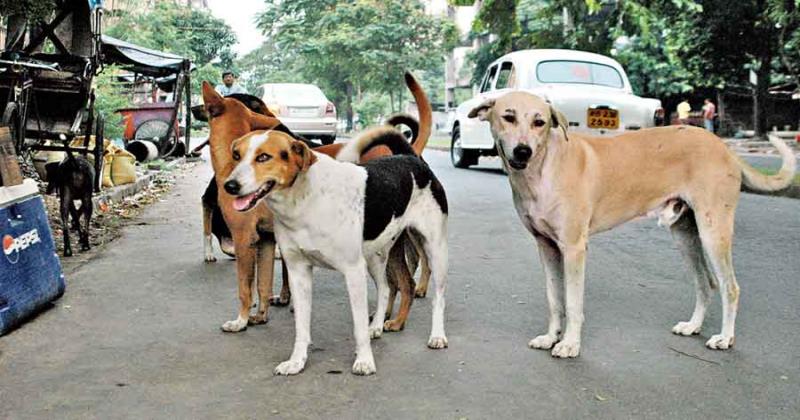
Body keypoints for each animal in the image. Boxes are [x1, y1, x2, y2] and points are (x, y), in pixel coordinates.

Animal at [223, 127, 450, 374]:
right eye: (236, 155)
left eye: (264, 157)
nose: (229, 186)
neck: (305, 200)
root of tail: (409, 158)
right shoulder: (298, 272)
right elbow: (301, 327)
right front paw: (297, 361)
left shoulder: (353, 271)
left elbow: (358, 327)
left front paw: (364, 361)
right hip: (377, 256)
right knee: (386, 288)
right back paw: (376, 326)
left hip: (435, 250)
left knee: (438, 297)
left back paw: (437, 336)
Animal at [472, 91, 796, 358]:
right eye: (508, 117)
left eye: (539, 122)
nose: (523, 151)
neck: (543, 168)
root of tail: (724, 147)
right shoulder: (547, 247)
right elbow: (555, 299)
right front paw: (551, 337)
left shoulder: (574, 249)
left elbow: (573, 303)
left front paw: (570, 344)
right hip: (686, 235)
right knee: (705, 283)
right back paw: (693, 326)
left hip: (713, 231)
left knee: (730, 287)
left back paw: (725, 338)